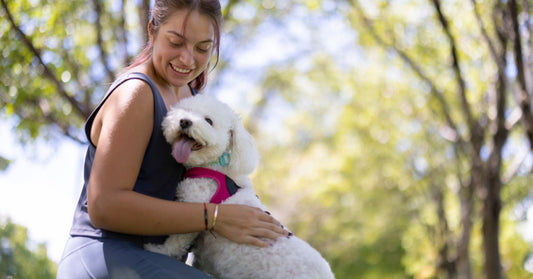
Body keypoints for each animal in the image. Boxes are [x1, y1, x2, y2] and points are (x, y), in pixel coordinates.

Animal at [143, 94, 334, 279]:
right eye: (186, 110)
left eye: (208, 120)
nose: (184, 121)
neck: (215, 166)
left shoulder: (193, 206)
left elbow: (177, 240)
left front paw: (159, 250)